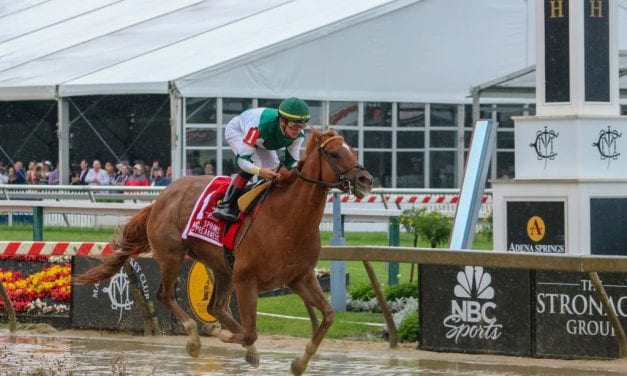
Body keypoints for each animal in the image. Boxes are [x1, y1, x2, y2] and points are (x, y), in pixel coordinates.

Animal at [76, 128, 376, 374]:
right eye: (335, 153)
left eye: (354, 150)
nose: (366, 180)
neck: (287, 219)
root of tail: (163, 196)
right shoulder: (247, 280)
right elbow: (251, 332)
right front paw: (223, 336)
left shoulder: (300, 277)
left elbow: (328, 315)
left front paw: (299, 362)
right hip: (173, 255)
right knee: (167, 295)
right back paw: (195, 339)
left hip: (221, 266)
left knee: (216, 306)